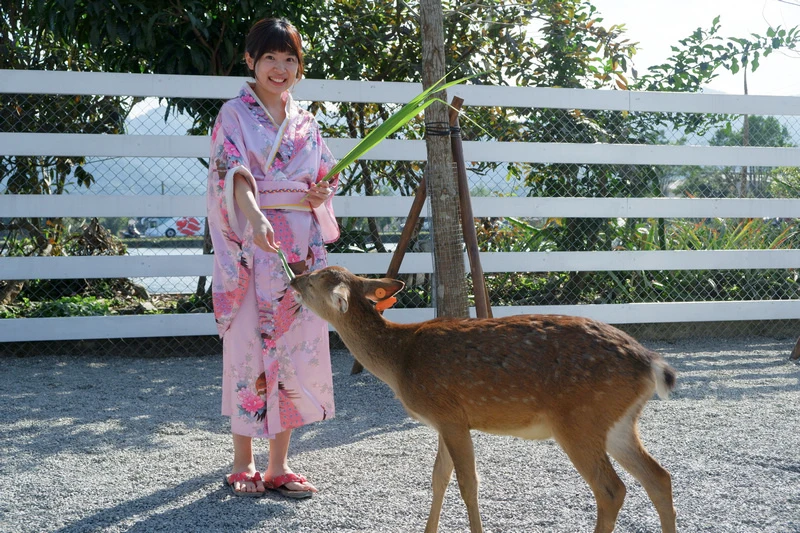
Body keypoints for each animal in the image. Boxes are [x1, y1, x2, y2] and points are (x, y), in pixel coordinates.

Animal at [289, 266, 677, 533]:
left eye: (316, 278)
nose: (293, 279)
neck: (400, 361)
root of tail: (651, 363)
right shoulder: (445, 421)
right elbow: (439, 478)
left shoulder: (449, 414)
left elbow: (468, 483)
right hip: (617, 423)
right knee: (659, 477)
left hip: (579, 419)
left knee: (612, 489)